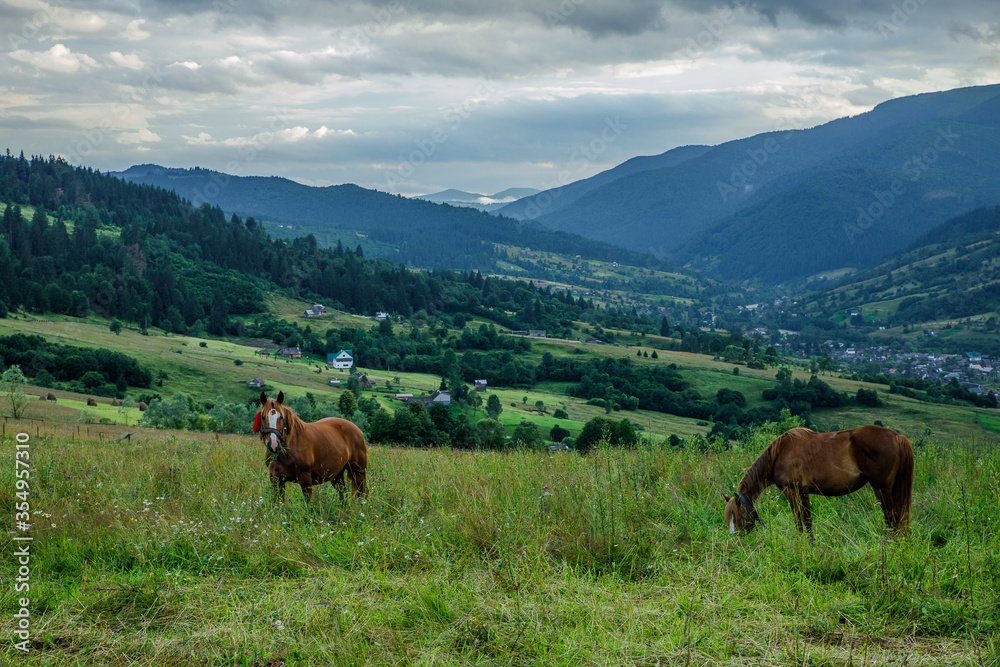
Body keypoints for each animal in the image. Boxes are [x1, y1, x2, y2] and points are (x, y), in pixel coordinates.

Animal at [723, 425, 913, 537]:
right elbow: (808, 520)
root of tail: (898, 437)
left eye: (737, 517)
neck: (779, 454)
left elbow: (798, 520)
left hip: (882, 488)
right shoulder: (803, 492)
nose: (735, 542)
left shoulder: (790, 490)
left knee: (892, 516)